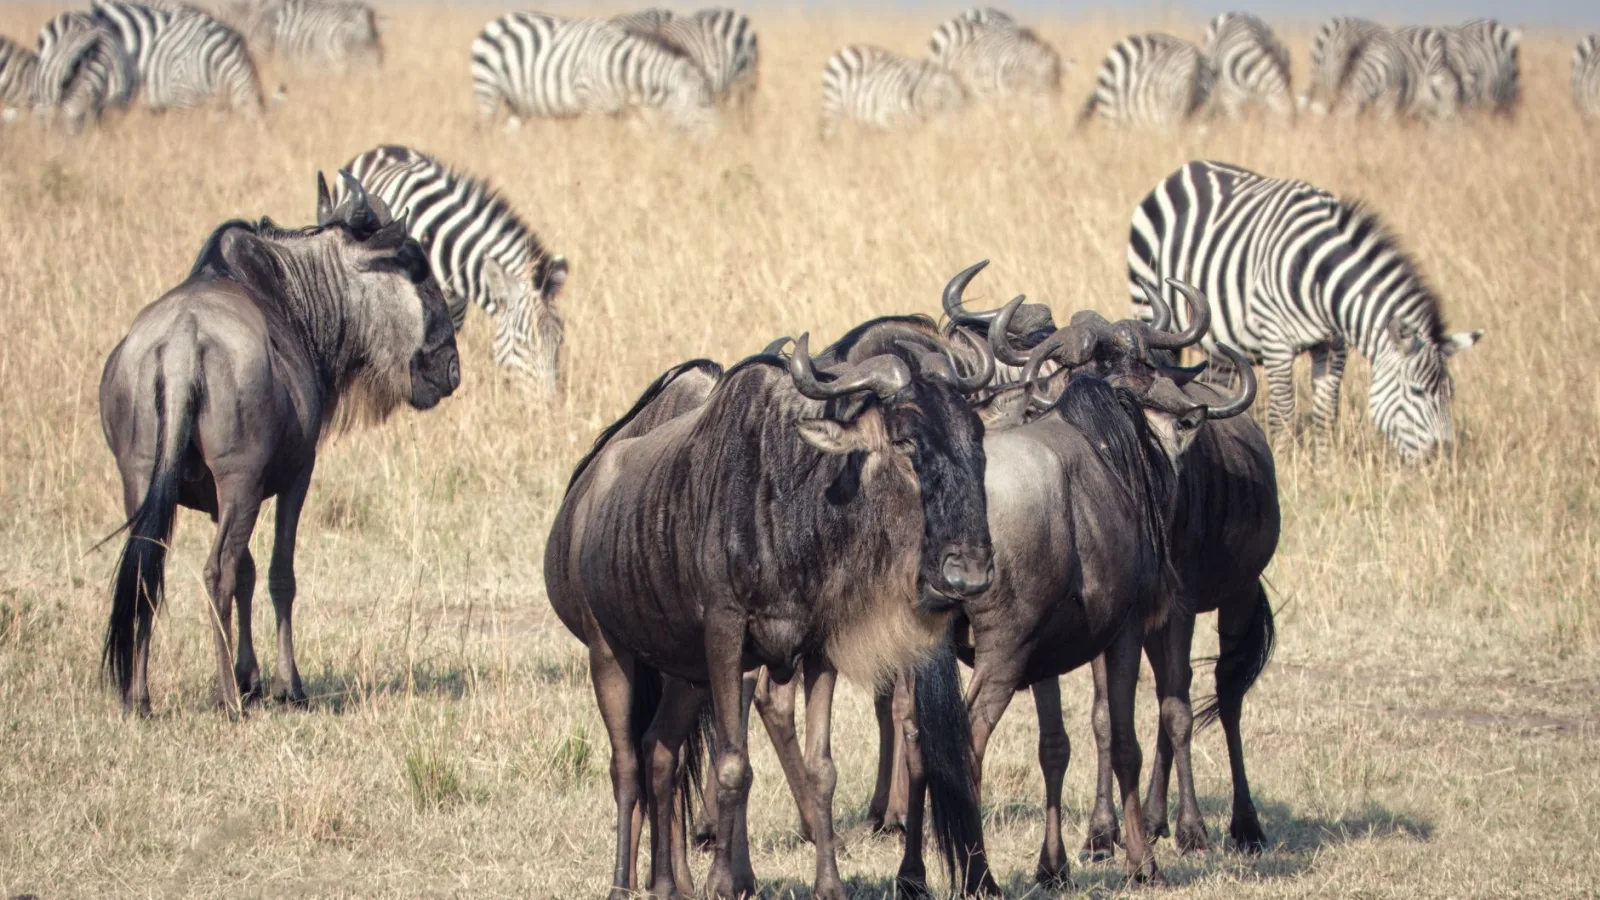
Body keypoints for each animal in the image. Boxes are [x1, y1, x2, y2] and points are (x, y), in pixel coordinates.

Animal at [471, 12, 715, 132]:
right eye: (702, 104)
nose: (716, 142)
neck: (620, 70)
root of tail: (498, 20)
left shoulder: (623, 110)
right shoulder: (590, 105)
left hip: (518, 103)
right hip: (487, 89)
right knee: (483, 130)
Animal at [819, 44, 966, 139]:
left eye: (959, 104)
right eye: (941, 102)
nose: (951, 137)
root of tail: (849, 48)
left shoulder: (913, 125)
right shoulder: (889, 117)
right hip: (832, 104)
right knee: (828, 133)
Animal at [1128, 160, 1483, 463]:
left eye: (1450, 394)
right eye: (1418, 391)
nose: (1443, 459)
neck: (1320, 278)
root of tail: (1187, 168)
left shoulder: (1334, 345)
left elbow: (1326, 409)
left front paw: (1324, 466)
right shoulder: (1277, 340)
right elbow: (1284, 409)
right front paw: (1285, 460)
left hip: (1221, 347)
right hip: (1145, 299)